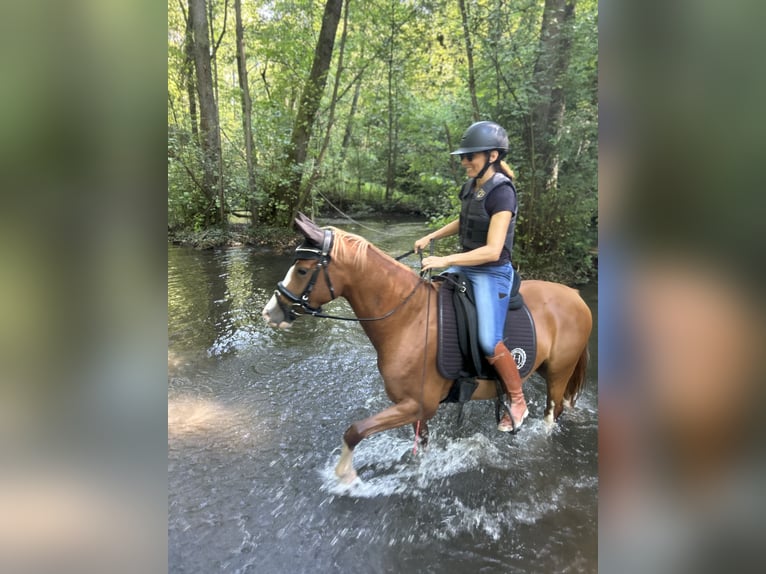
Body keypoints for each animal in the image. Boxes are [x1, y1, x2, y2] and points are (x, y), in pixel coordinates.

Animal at [262, 214, 593, 483]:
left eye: (302, 270)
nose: (270, 312)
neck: (409, 318)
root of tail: (577, 297)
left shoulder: (417, 404)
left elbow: (355, 430)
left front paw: (345, 475)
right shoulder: (414, 407)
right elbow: (420, 444)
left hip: (558, 374)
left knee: (552, 413)